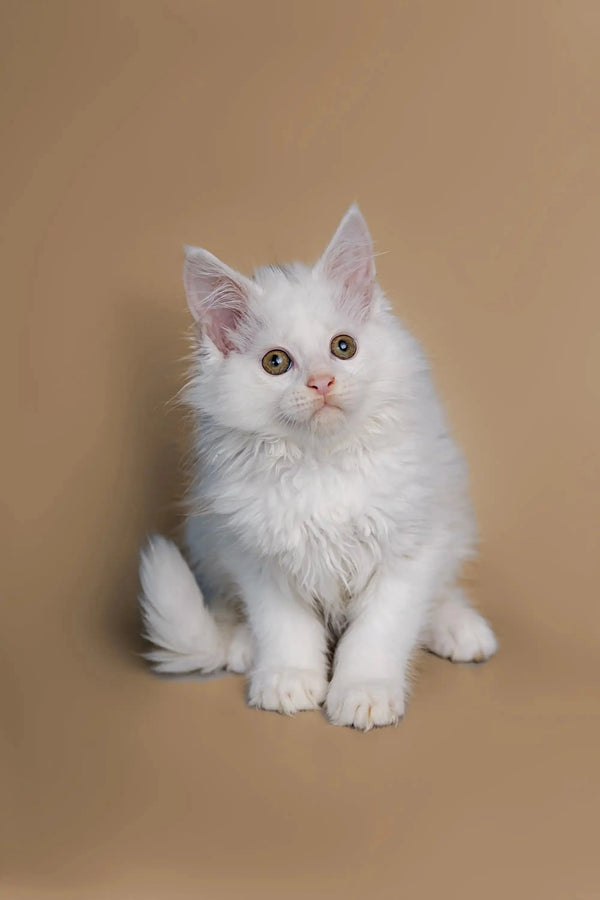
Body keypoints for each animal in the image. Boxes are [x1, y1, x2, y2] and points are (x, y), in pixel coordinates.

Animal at [141, 206, 496, 732]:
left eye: (342, 347)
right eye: (276, 362)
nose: (322, 381)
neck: (321, 463)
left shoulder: (409, 548)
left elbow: (379, 632)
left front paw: (365, 691)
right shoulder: (258, 555)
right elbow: (284, 627)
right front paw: (288, 678)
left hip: (452, 516)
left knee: (441, 590)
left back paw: (458, 627)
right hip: (208, 538)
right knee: (227, 605)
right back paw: (242, 646)